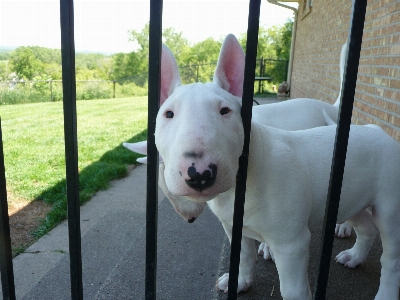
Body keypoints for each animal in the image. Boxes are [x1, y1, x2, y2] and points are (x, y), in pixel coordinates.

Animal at [123, 34, 398, 298]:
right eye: (168, 114)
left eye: (225, 111)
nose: (199, 173)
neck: (242, 182)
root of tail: (379, 131)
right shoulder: (233, 227)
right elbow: (244, 256)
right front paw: (239, 283)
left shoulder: (292, 244)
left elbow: (293, 289)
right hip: (350, 196)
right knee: (366, 227)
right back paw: (354, 257)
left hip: (389, 207)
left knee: (391, 257)